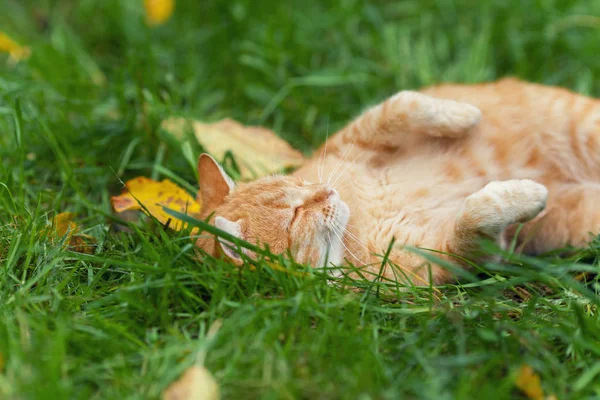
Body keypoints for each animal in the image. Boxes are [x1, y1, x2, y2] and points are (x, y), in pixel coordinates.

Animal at [195, 78, 596, 284]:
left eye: (297, 185)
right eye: (294, 215)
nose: (327, 190)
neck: (359, 220)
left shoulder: (355, 138)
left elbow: (400, 105)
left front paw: (462, 114)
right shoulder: (457, 256)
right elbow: (474, 218)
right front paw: (529, 193)